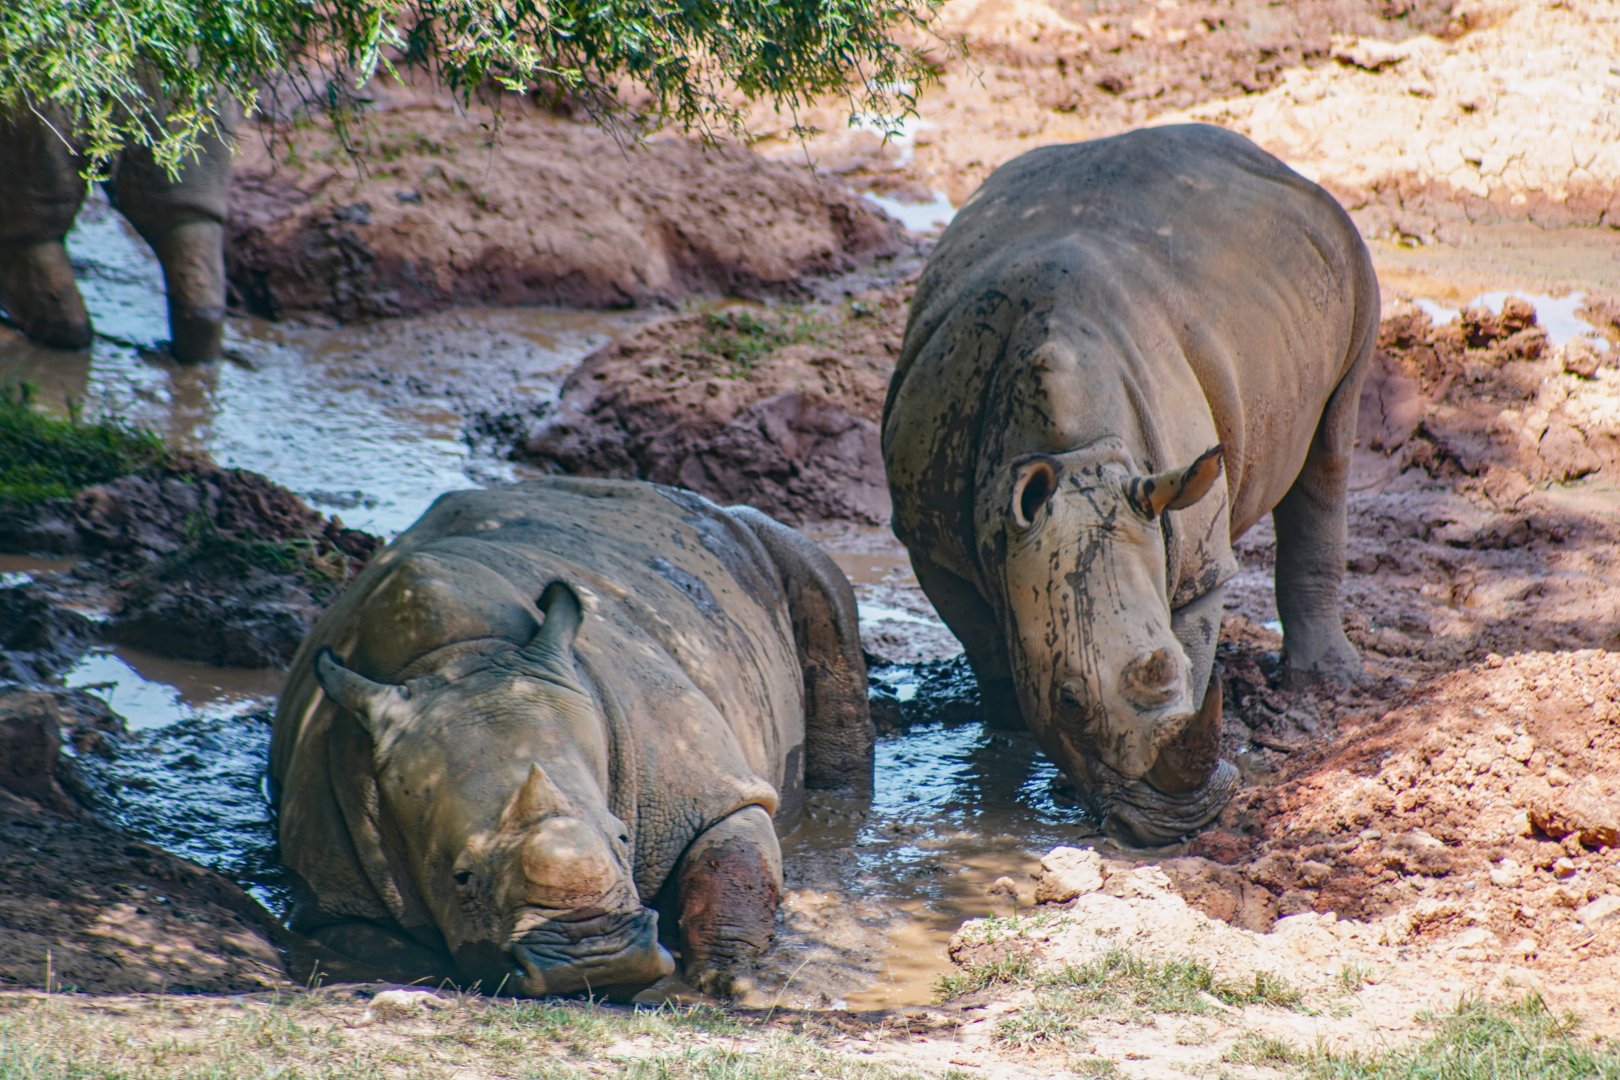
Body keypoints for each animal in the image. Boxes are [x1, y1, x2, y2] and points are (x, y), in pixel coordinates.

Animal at [269, 477, 870, 996]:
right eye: (461, 877)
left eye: (623, 838)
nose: (596, 960)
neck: (460, 658)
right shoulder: (330, 892)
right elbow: (388, 951)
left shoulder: (706, 782)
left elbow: (734, 857)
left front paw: (728, 981)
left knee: (821, 589)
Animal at [882, 125, 1378, 845]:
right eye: (1067, 699)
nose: (1178, 824)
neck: (1072, 456)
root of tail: (1274, 163)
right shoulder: (932, 543)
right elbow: (992, 651)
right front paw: (1008, 736)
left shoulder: (1195, 557)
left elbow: (1192, 646)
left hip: (1349, 254)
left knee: (1332, 441)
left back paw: (1327, 683)